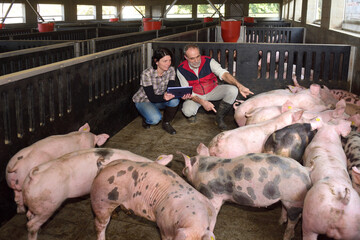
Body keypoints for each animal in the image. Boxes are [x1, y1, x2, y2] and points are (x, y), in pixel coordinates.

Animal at [180, 143, 312, 240]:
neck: (201, 169)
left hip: (293, 199)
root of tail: (305, 169)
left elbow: (213, 213)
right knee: (285, 210)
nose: (182, 171)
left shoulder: (212, 194)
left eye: (186, 168)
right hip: (286, 198)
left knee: (294, 218)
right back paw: (280, 222)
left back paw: (286, 236)